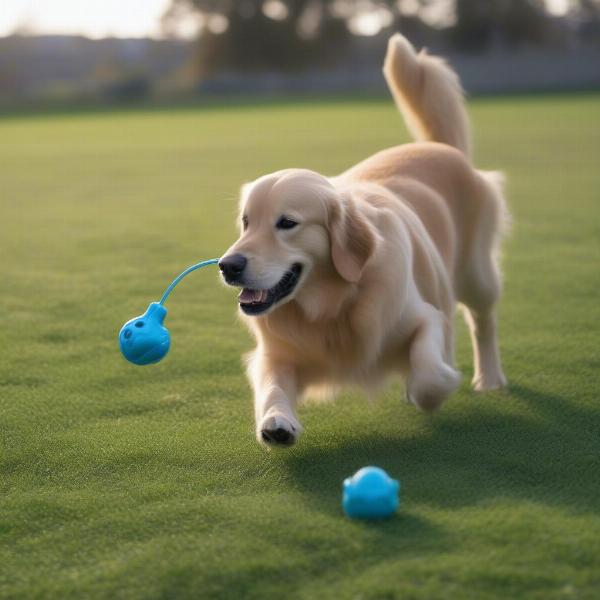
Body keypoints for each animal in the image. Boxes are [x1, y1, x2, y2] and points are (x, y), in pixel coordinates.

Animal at [218, 32, 508, 446]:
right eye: (246, 222)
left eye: (287, 223)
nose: (228, 266)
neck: (334, 306)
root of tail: (442, 147)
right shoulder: (276, 353)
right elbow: (272, 385)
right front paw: (276, 421)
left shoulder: (422, 316)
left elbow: (428, 373)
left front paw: (439, 384)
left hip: (476, 273)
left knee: (482, 320)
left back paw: (489, 378)